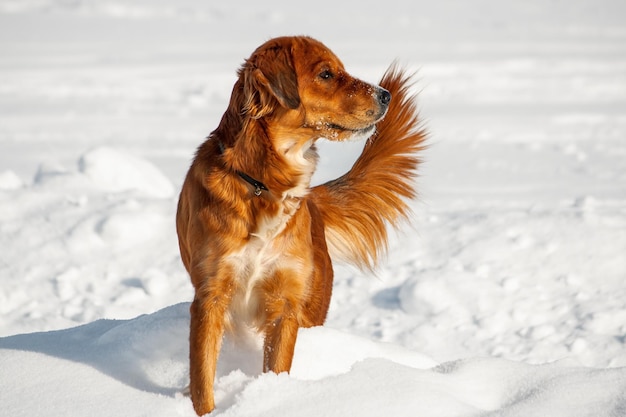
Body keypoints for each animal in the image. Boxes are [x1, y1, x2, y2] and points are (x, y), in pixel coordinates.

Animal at [174, 35, 424, 412]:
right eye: (326, 74)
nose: (385, 95)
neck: (267, 185)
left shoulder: (286, 304)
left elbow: (277, 366)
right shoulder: (211, 297)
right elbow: (203, 380)